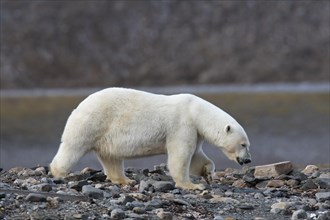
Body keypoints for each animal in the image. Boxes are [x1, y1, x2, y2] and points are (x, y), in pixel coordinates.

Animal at [49, 87, 250, 189]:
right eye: (243, 144)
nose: (248, 160)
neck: (195, 112)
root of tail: (79, 105)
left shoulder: (195, 131)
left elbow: (195, 156)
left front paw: (207, 173)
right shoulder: (182, 125)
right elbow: (181, 156)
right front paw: (191, 186)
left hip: (106, 136)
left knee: (111, 157)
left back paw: (125, 180)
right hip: (92, 123)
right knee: (73, 147)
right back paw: (60, 173)